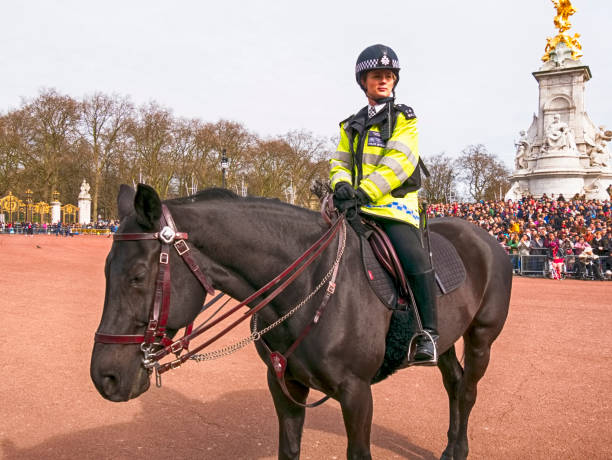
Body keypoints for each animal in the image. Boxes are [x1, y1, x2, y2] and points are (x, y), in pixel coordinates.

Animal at [89, 184, 512, 460]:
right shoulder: (284, 383)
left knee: (468, 391)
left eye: (138, 275)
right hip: (445, 339)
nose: (104, 377)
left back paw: (459, 449)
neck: (308, 285)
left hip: (482, 337)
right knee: (454, 384)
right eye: (106, 270)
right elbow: (289, 449)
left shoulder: (357, 393)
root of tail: (483, 236)